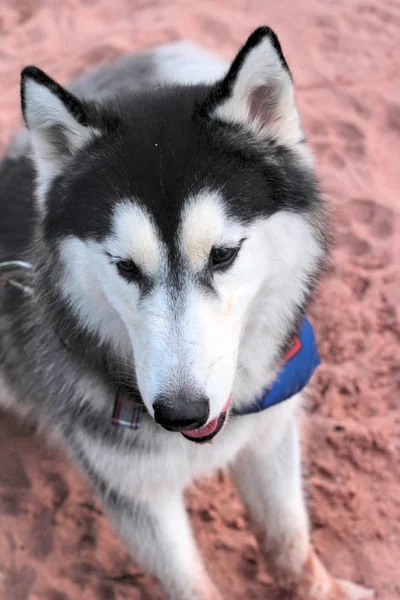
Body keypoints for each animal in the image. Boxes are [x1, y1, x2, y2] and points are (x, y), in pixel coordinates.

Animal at [0, 25, 376, 596]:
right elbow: (189, 582)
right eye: (124, 266)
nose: (181, 412)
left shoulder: (269, 436)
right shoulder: (135, 494)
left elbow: (289, 538)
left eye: (223, 254)